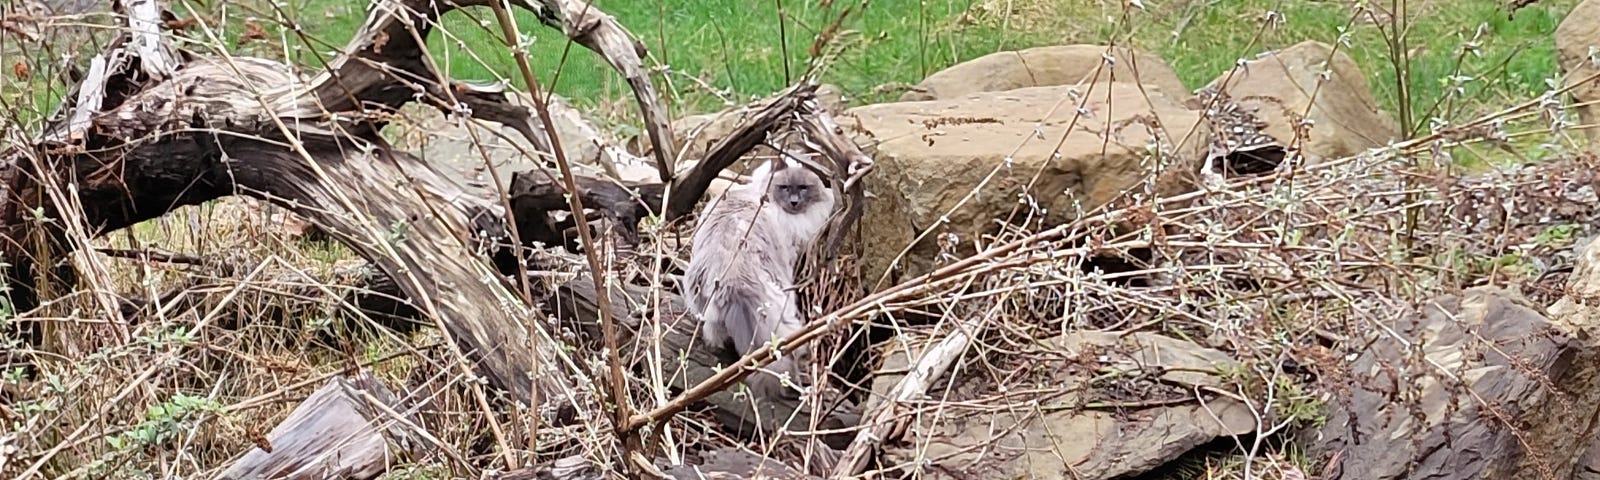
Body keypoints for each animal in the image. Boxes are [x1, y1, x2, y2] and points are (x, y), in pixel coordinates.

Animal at [684, 152, 838, 396]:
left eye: (803, 188)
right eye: (785, 187)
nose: (794, 202)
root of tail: (734, 282)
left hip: (706, 311)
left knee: (715, 337)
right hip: (784, 311)